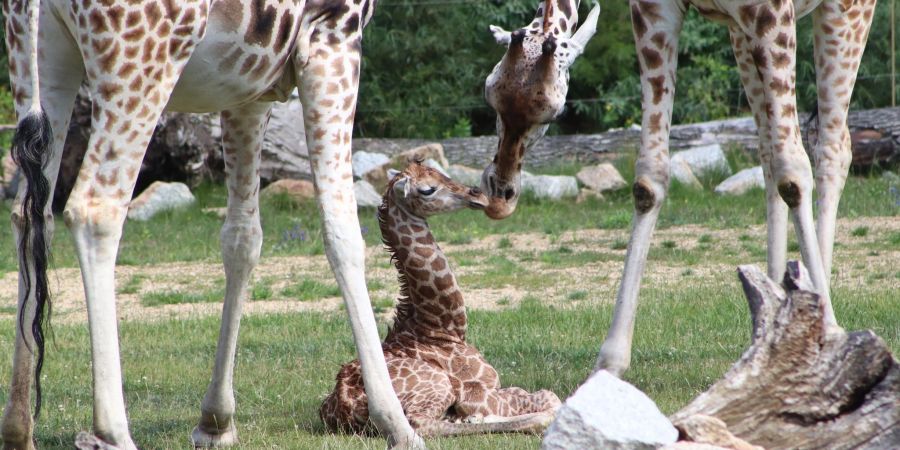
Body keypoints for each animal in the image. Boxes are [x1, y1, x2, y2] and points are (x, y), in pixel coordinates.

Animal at [3, 0, 426, 448]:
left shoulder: (249, 85)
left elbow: (242, 238)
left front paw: (216, 421)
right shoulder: (334, 35)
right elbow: (342, 230)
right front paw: (396, 423)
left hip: (40, 58)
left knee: (31, 214)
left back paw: (19, 429)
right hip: (142, 58)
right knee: (94, 209)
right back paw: (114, 432)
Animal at [320, 161, 560, 436]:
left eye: (441, 173)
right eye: (427, 189)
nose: (478, 194)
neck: (441, 328)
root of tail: (345, 407)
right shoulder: (476, 391)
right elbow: (549, 397)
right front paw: (478, 417)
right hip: (438, 385)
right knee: (421, 424)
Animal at [482, 0, 876, 376]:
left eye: (555, 112)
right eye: (489, 94)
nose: (500, 192)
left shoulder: (772, 12)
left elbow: (793, 172)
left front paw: (829, 335)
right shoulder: (656, 12)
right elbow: (649, 179)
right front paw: (609, 364)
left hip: (845, 11)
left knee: (831, 146)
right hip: (740, 34)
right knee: (768, 150)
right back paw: (770, 319)